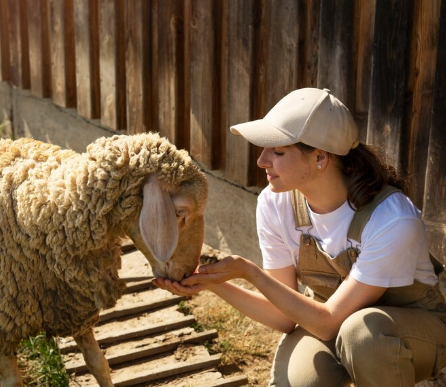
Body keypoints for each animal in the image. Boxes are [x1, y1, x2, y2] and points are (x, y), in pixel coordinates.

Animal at [0, 132, 207, 386]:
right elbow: (12, 382)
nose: (188, 272)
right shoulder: (4, 330)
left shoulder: (74, 306)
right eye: (180, 212)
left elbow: (98, 364)